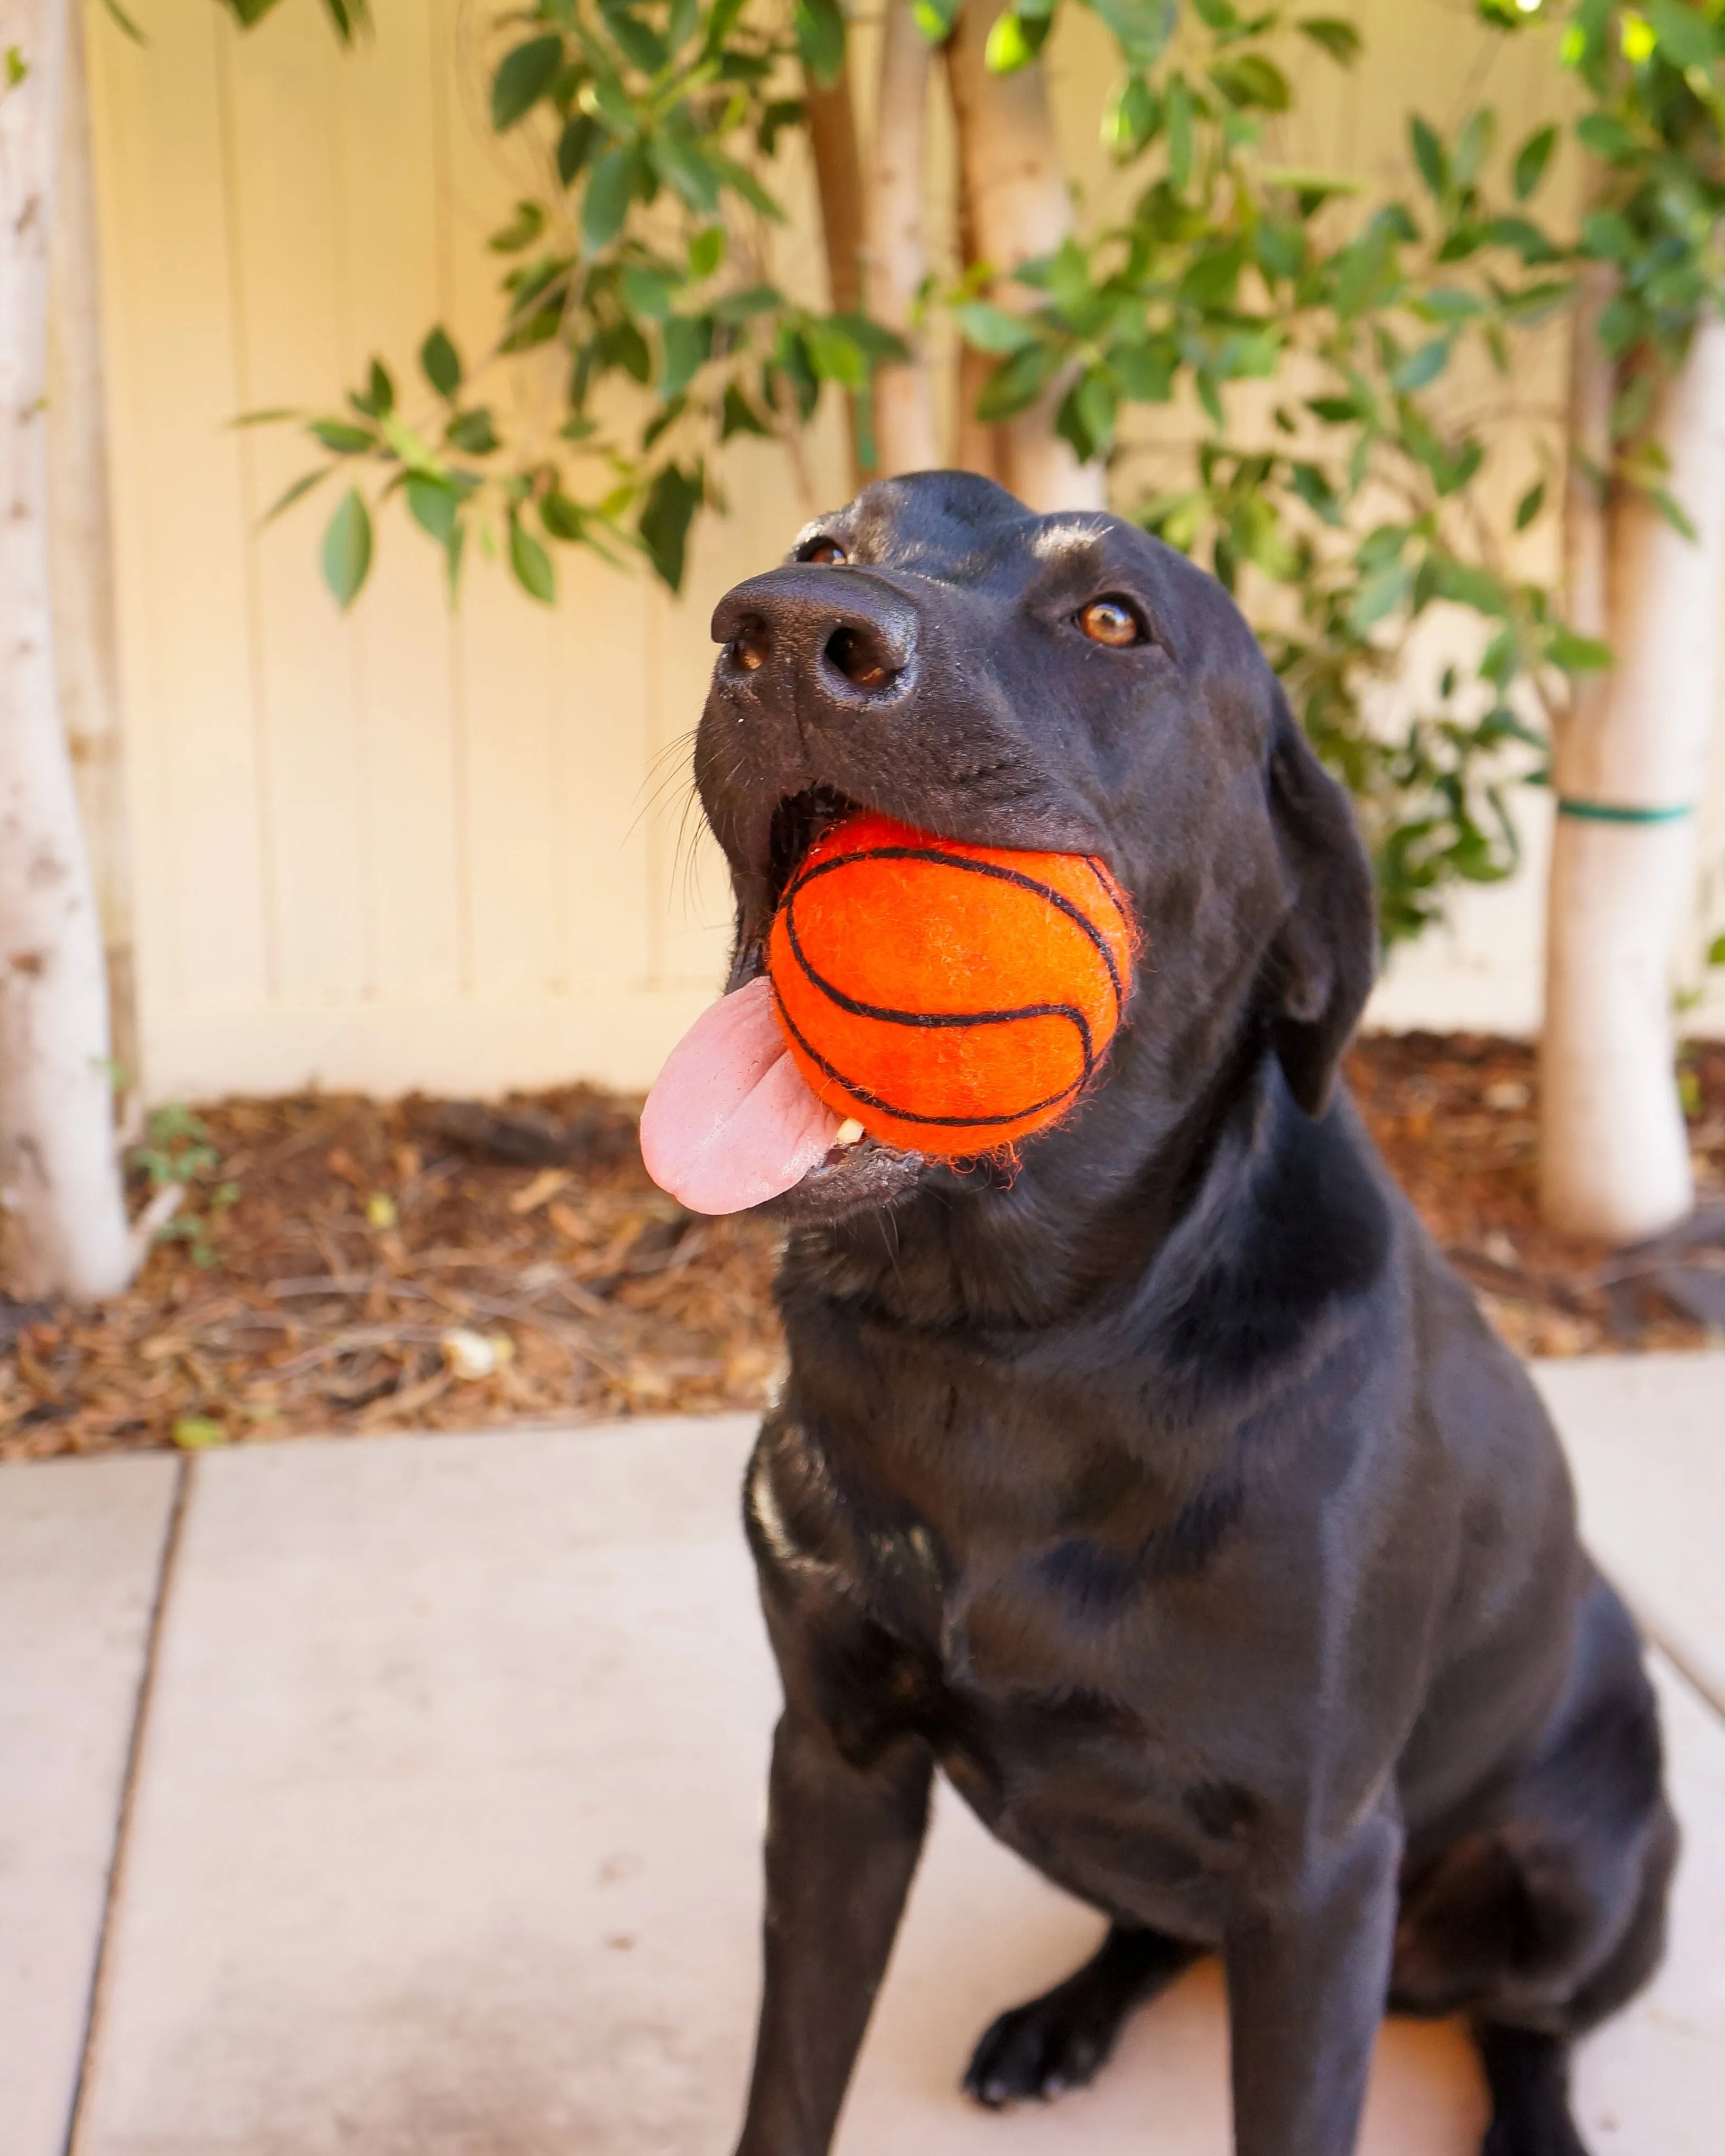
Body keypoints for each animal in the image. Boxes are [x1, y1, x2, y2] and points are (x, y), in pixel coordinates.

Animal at [685, 480, 1673, 2156]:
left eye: (1112, 621)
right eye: (827, 547)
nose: (783, 629)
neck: (999, 1347)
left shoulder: (1318, 1872)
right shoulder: (830, 1764)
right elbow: (789, 2088)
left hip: (1577, 1877)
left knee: (1529, 2026)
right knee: (1154, 1922)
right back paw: (1065, 2014)